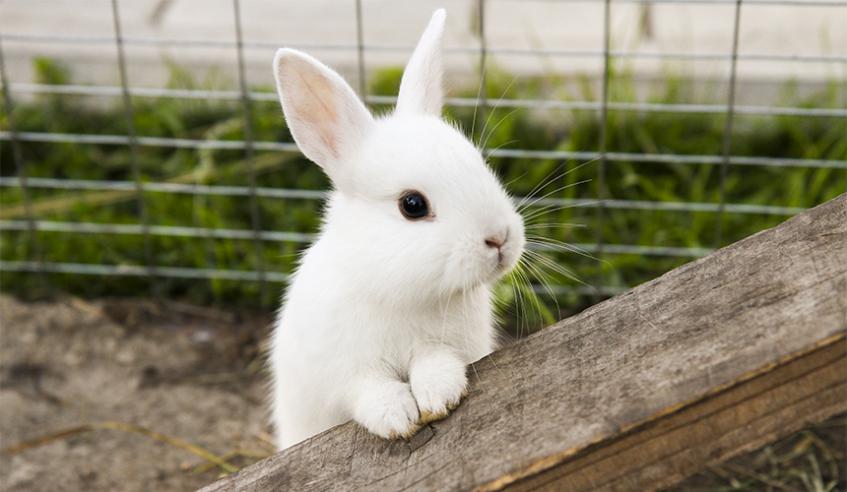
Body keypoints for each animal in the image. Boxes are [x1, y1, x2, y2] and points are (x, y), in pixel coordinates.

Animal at [270, 8, 524, 450]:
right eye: (412, 205)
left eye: (479, 163)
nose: (499, 239)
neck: (401, 293)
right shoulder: (344, 373)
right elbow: (369, 390)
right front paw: (397, 417)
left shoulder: (448, 345)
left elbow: (436, 362)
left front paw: (439, 395)